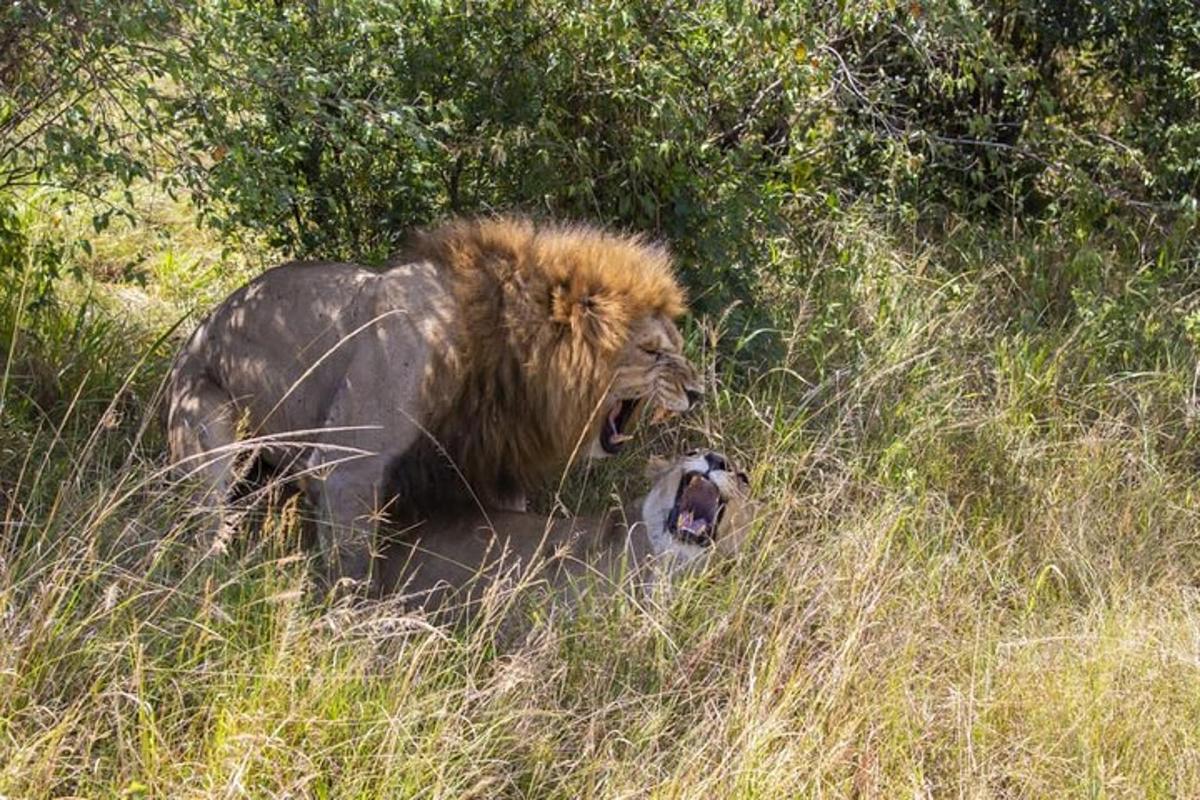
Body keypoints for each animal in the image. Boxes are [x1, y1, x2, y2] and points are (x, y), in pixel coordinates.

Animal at [164, 219, 700, 587]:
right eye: (652, 351)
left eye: (677, 345)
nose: (696, 393)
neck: (506, 350)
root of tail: (198, 334)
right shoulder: (346, 469)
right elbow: (352, 565)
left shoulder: (492, 461)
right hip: (205, 433)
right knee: (205, 516)